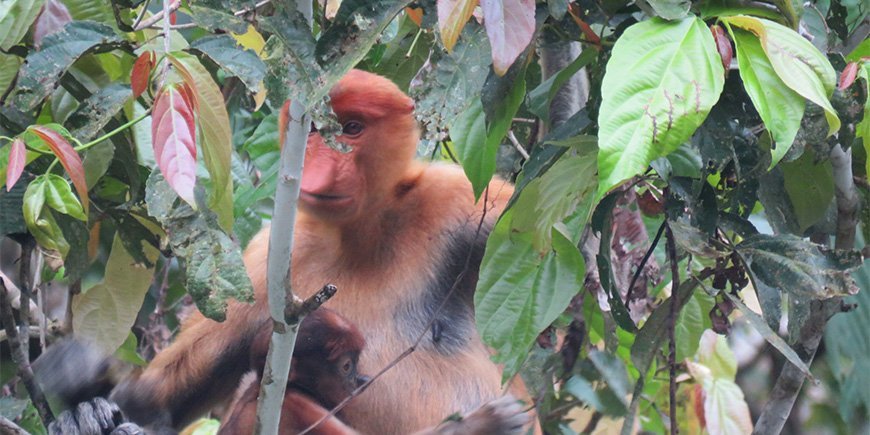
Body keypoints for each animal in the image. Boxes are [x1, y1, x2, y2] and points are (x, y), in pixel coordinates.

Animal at [111, 69, 536, 434]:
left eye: (352, 128)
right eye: (314, 132)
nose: (319, 170)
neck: (361, 235)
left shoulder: (453, 201)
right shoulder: (269, 257)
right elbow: (166, 394)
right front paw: (99, 414)